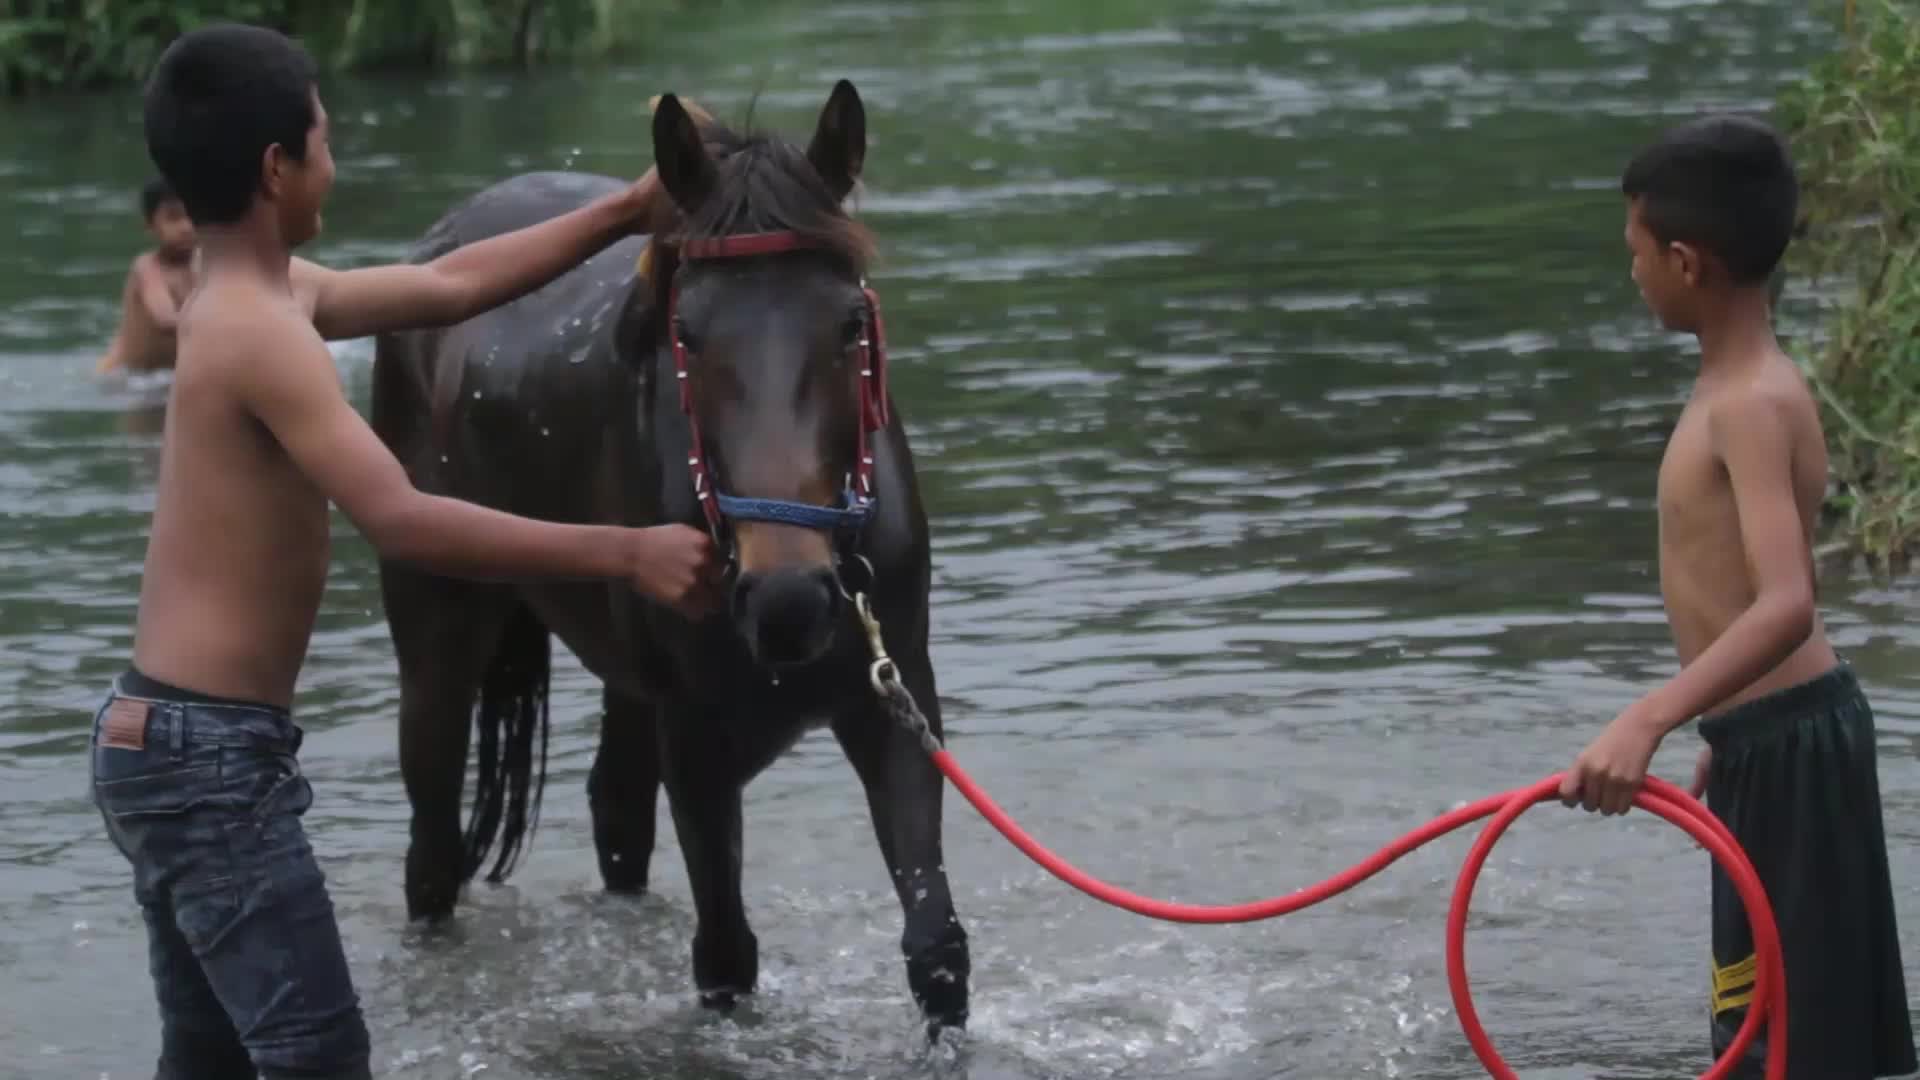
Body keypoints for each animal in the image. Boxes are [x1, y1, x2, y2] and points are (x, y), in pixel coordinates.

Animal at [367, 80, 970, 1034]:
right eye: (686, 334)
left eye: (850, 323)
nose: (789, 599)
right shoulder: (696, 733)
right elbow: (724, 954)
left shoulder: (895, 692)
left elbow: (936, 946)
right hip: (438, 637)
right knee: (431, 849)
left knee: (615, 813)